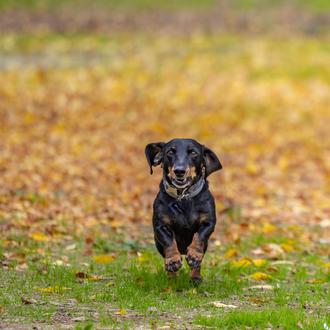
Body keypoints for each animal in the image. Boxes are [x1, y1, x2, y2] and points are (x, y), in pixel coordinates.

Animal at [144, 138, 222, 282]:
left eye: (193, 152)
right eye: (170, 152)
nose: (179, 171)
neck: (183, 198)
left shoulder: (208, 222)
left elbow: (199, 236)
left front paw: (194, 255)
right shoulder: (160, 226)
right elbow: (169, 241)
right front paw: (173, 260)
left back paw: (195, 276)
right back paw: (172, 275)